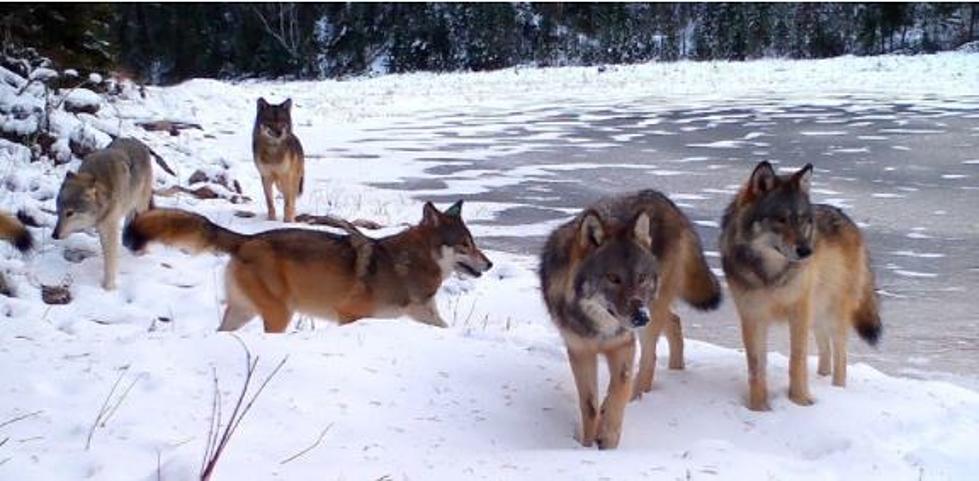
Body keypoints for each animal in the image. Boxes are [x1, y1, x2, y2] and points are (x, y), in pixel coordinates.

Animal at [52, 137, 153, 290]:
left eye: (70, 213)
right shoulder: (102, 227)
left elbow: (110, 258)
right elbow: (107, 253)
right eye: (58, 211)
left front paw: (108, 287)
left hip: (141, 205)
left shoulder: (110, 227)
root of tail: (136, 140)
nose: (54, 235)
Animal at [122, 201, 490, 332]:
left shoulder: (424, 316)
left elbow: (444, 328)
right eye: (465, 245)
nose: (490, 263)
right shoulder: (349, 315)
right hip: (279, 315)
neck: (407, 264)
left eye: (474, 242)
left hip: (243, 314)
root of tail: (246, 240)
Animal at [540, 189, 724, 448]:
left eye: (641, 277)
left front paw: (608, 440)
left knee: (649, 358)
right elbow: (589, 406)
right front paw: (587, 443)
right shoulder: (580, 352)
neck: (601, 329)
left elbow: (617, 394)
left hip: (652, 311)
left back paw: (639, 394)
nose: (640, 317)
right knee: (674, 321)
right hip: (655, 310)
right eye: (613, 278)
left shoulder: (624, 346)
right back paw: (676, 369)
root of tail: (663, 198)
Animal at [720, 161, 880, 408]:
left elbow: (797, 359)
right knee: (825, 349)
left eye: (803, 220)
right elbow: (756, 367)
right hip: (817, 313)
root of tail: (846, 217)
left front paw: (800, 401)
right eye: (781, 219)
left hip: (831, 313)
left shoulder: (798, 311)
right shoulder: (752, 315)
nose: (806, 251)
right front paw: (759, 407)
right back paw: (822, 378)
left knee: (840, 356)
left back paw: (837, 390)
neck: (771, 275)